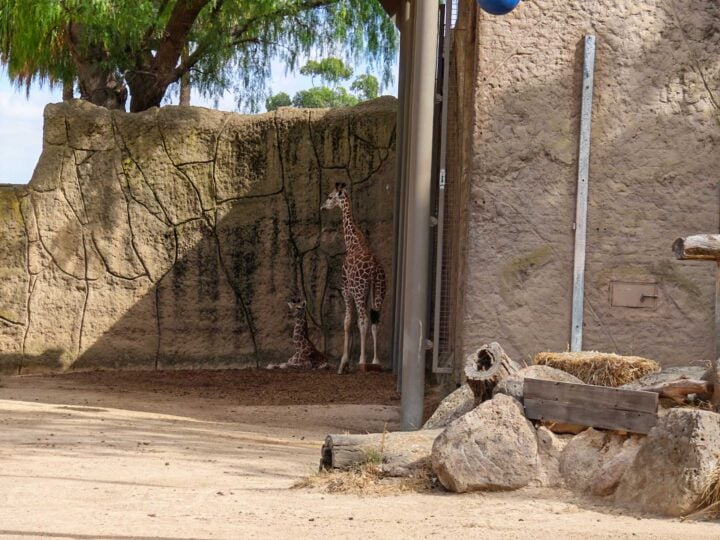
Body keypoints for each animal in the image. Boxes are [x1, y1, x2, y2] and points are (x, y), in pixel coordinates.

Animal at [321, 183, 386, 374]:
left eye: (330, 196)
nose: (322, 207)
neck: (352, 241)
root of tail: (374, 270)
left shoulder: (346, 288)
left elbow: (347, 321)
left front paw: (343, 363)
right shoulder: (364, 294)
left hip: (358, 291)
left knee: (363, 320)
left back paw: (362, 361)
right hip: (378, 293)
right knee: (374, 321)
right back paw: (375, 361)